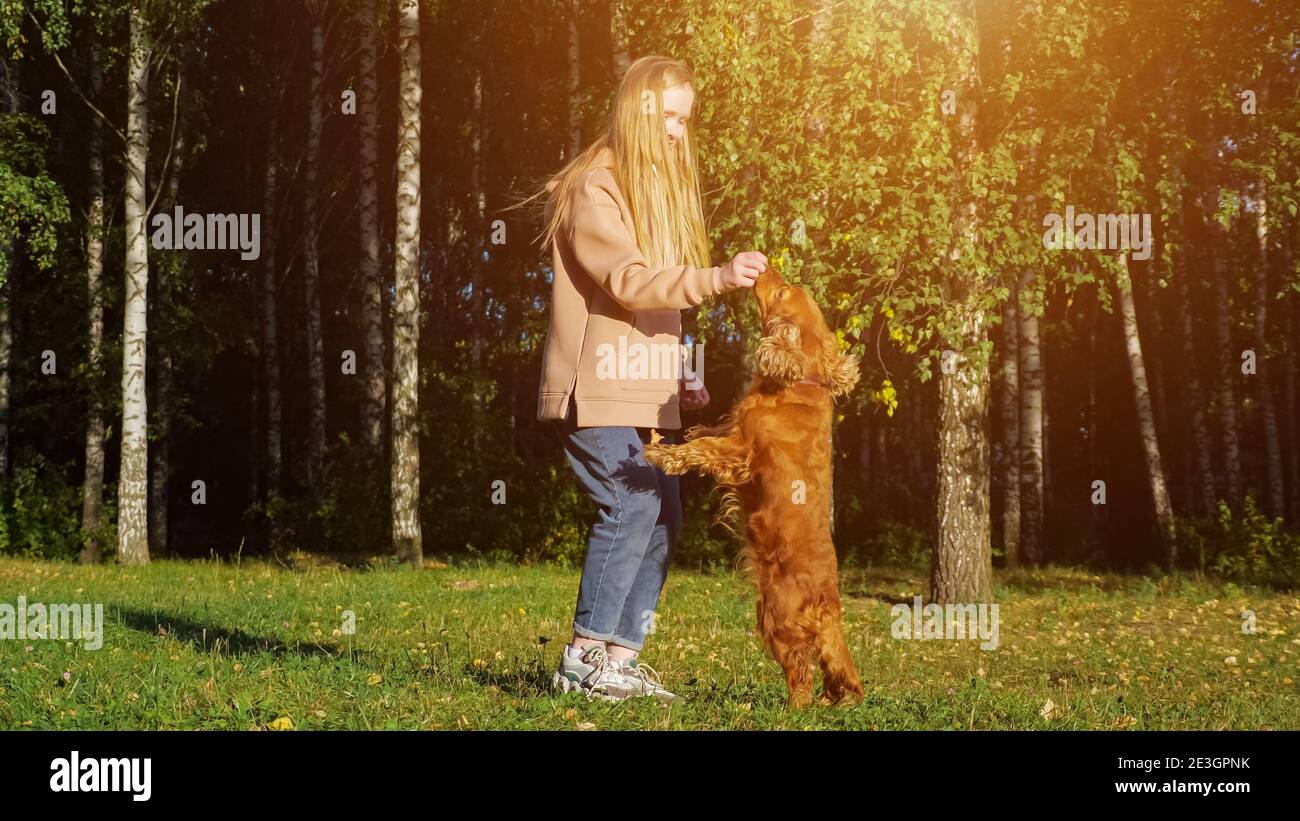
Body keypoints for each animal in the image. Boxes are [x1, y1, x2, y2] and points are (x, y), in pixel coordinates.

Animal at [642, 265, 863, 706]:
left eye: (779, 292)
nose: (766, 267)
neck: (800, 380)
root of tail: (828, 604)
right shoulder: (735, 431)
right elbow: (712, 430)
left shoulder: (741, 452)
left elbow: (702, 450)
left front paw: (663, 454)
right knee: (830, 669)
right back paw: (833, 700)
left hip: (775, 619)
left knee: (801, 673)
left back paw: (791, 710)